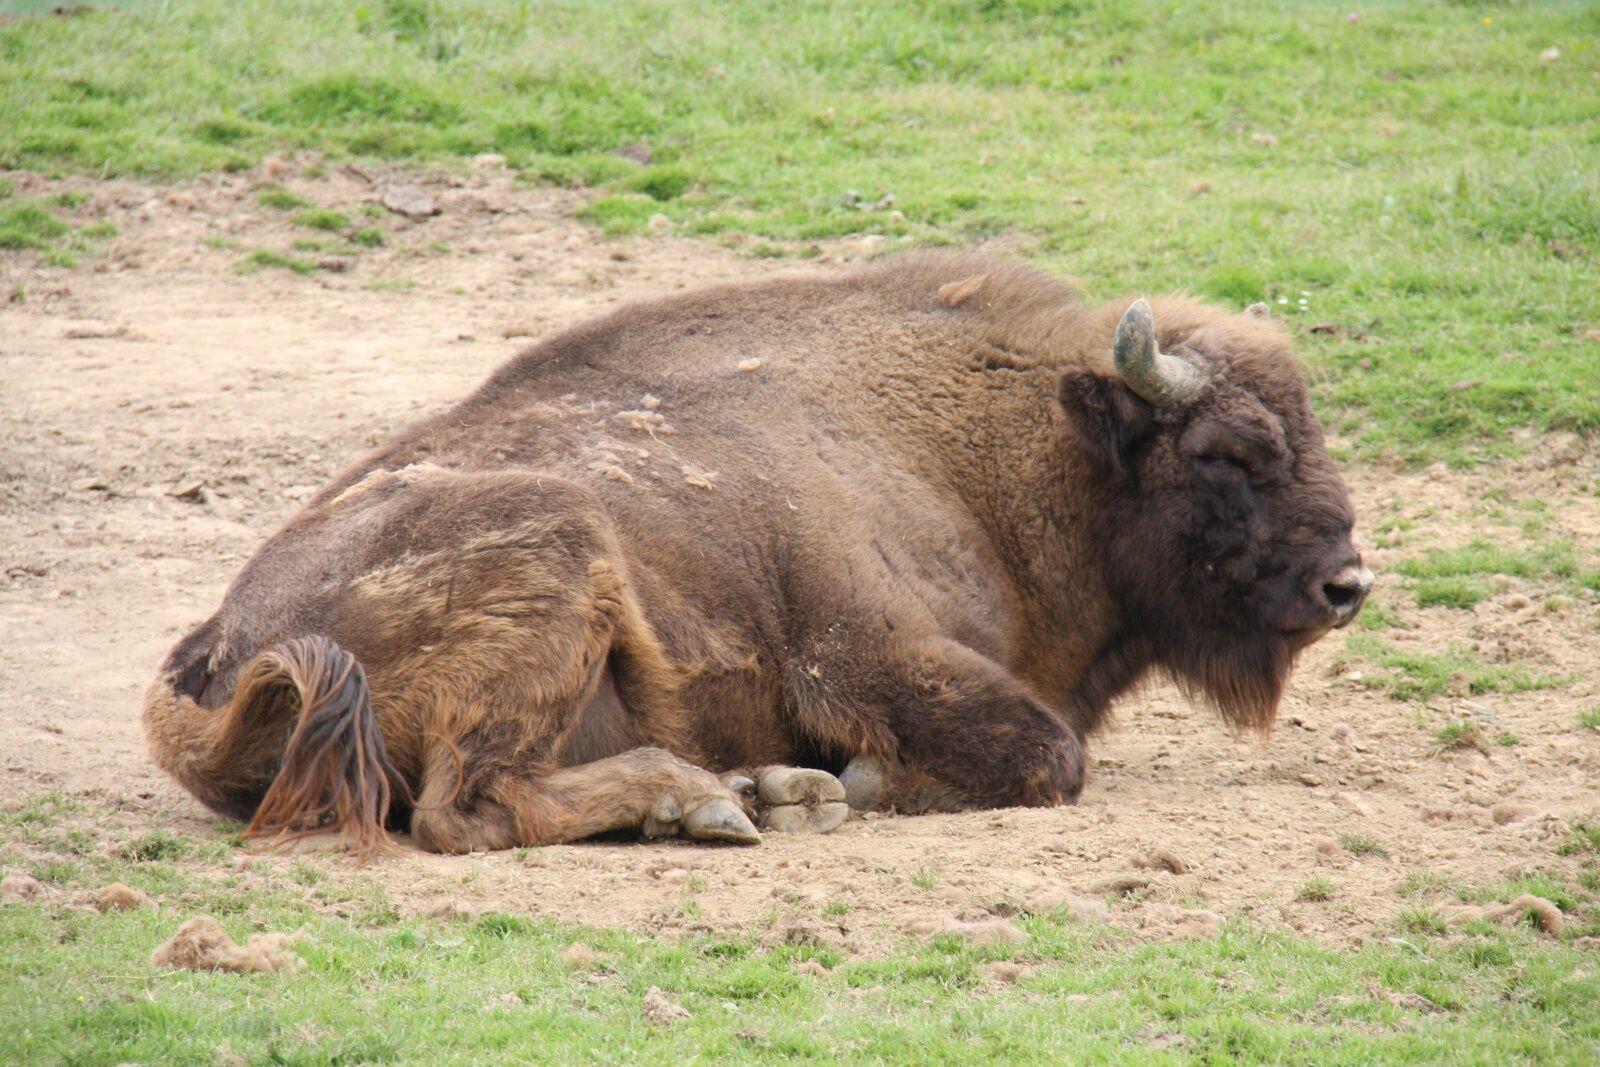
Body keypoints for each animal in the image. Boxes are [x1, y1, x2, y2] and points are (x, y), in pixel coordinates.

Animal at [143, 253, 1370, 854]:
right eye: (1225, 451)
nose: (1346, 582)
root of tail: (222, 653)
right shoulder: (868, 653)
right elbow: (1043, 754)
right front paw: (840, 784)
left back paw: (739, 792)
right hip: (561, 555)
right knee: (463, 808)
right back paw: (713, 801)